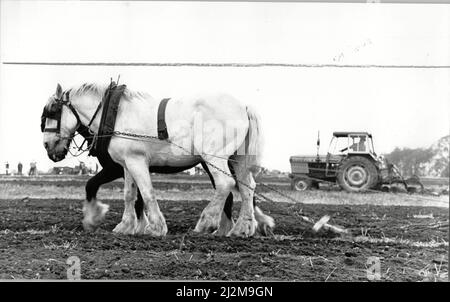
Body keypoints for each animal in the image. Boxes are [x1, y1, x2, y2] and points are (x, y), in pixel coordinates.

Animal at [43, 82, 274, 236]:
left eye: (52, 111)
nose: (47, 146)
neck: (117, 114)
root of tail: (243, 106)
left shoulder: (136, 161)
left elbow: (147, 192)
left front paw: (155, 227)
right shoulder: (127, 163)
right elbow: (130, 195)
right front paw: (126, 226)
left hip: (214, 157)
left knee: (226, 184)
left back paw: (206, 223)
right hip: (238, 159)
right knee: (247, 188)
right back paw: (242, 228)